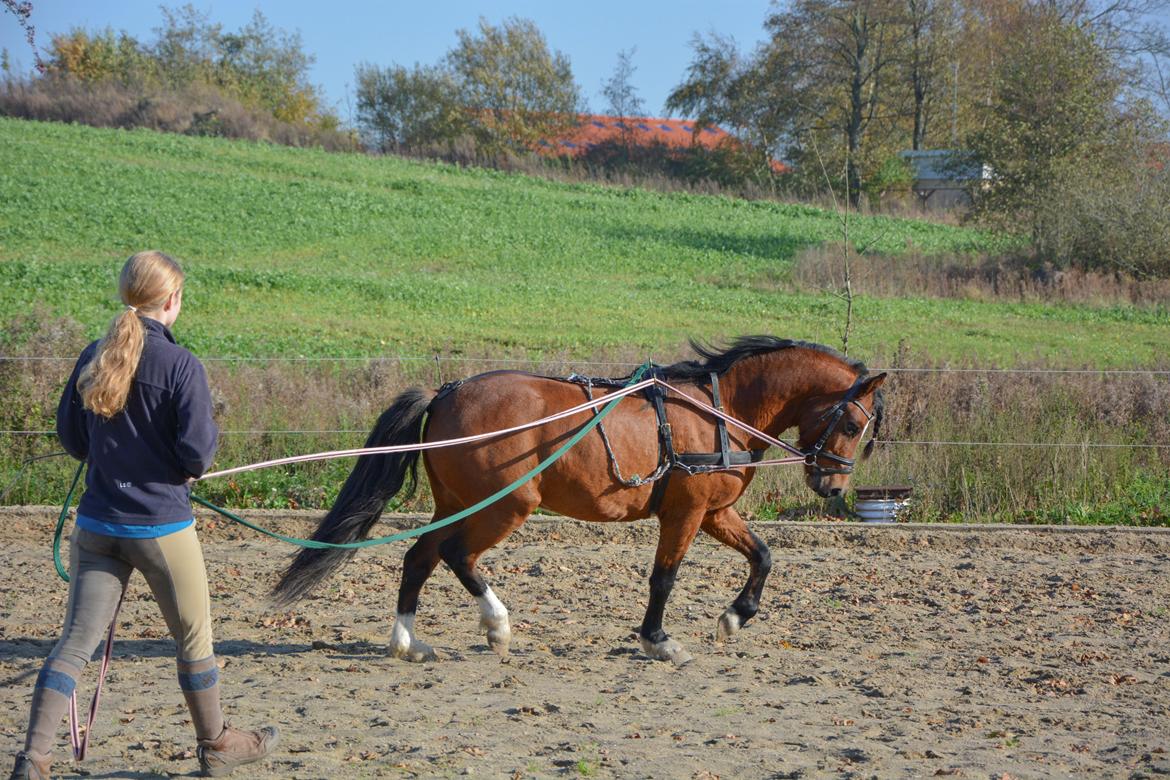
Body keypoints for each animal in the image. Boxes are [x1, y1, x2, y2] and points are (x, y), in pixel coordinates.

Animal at [273, 336, 885, 665]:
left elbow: (763, 555)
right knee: (456, 557)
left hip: (455, 502)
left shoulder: (714, 511)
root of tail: (446, 391)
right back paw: (497, 625)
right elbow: (664, 578)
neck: (720, 409)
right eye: (853, 423)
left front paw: (735, 617)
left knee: (418, 558)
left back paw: (407, 642)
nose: (834, 488)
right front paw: (659, 641)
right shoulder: (685, 512)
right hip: (504, 505)